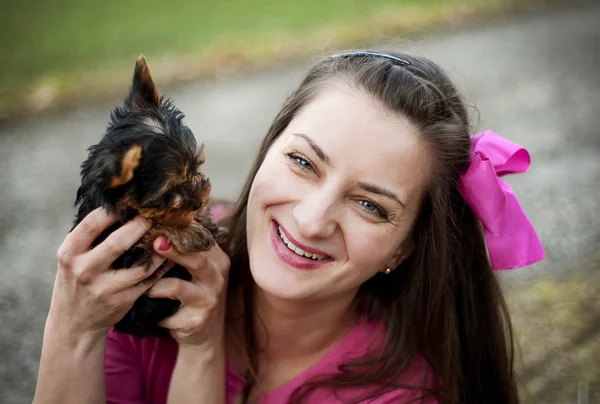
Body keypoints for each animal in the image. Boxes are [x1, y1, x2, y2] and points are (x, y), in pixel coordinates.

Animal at [72, 54, 226, 338]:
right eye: (167, 195)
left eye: (196, 168)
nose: (198, 201)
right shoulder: (125, 252)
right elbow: (151, 230)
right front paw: (191, 231)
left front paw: (205, 221)